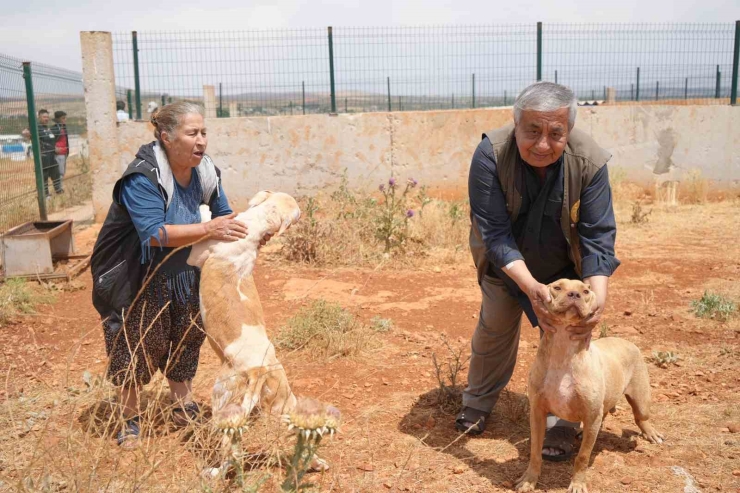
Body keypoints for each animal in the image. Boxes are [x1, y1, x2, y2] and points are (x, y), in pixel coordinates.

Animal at [516, 278, 664, 490]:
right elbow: (535, 452)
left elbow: (583, 457)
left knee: (640, 418)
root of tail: (626, 340)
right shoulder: (537, 412)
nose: (574, 295)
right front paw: (529, 480)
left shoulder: (592, 414)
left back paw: (651, 434)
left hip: (641, 401)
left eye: (585, 291)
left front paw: (577, 484)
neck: (563, 352)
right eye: (557, 287)